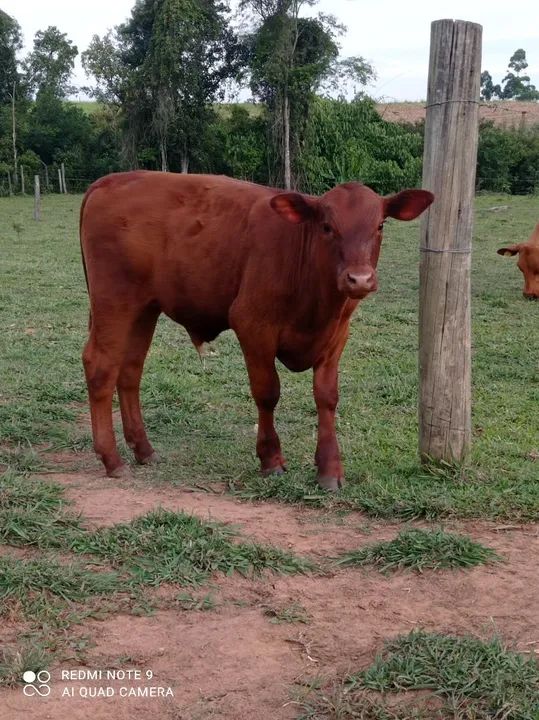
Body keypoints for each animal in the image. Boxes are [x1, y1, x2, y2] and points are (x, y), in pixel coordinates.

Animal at [80, 171, 433, 490]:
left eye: (380, 225)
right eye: (327, 227)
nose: (359, 279)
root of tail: (111, 180)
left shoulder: (336, 336)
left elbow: (326, 397)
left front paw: (330, 468)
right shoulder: (253, 326)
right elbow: (267, 392)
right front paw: (270, 459)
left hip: (144, 309)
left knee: (130, 370)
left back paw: (144, 449)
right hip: (114, 302)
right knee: (101, 367)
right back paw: (112, 459)